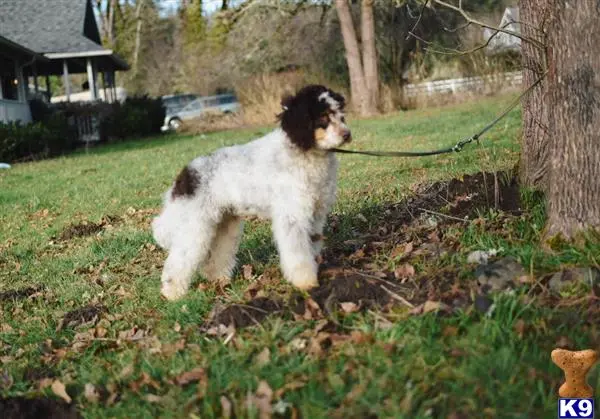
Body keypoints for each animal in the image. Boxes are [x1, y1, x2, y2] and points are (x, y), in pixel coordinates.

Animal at [150, 85, 354, 300]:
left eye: (341, 114)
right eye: (323, 117)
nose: (347, 134)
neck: (302, 151)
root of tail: (184, 177)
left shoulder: (315, 215)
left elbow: (311, 246)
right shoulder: (292, 217)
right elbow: (298, 253)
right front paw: (306, 282)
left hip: (223, 223)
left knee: (216, 257)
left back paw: (218, 280)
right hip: (195, 226)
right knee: (179, 259)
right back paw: (172, 293)